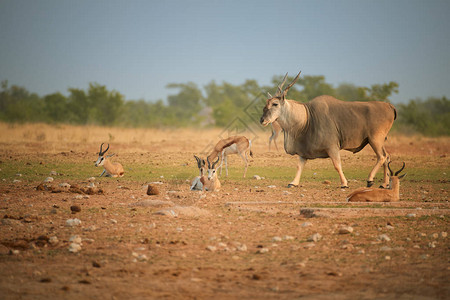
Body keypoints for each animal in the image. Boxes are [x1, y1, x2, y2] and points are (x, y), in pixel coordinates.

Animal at [260, 71, 398, 188]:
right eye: (266, 103)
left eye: (275, 104)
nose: (262, 120)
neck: (307, 118)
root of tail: (389, 106)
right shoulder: (303, 152)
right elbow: (299, 166)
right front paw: (293, 183)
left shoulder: (332, 147)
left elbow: (337, 165)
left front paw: (344, 184)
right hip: (379, 141)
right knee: (387, 157)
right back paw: (384, 184)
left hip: (375, 139)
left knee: (382, 157)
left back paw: (370, 180)